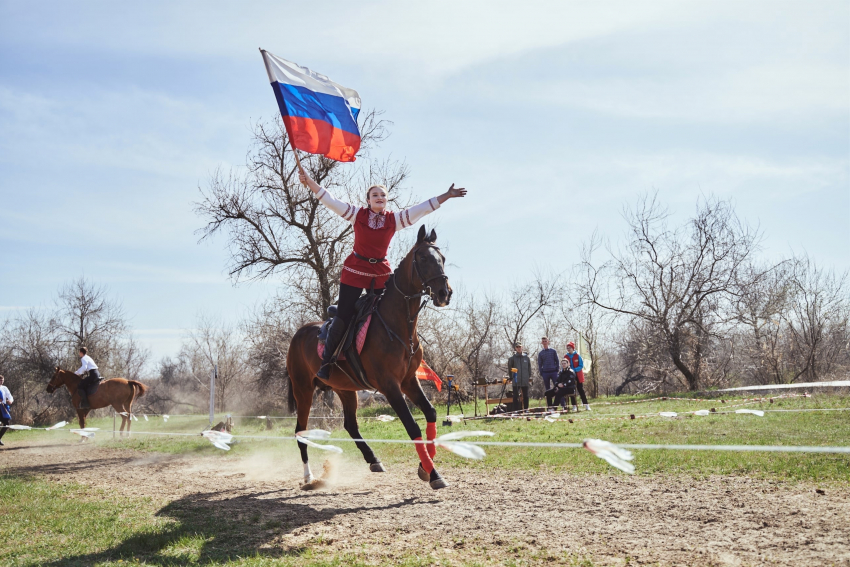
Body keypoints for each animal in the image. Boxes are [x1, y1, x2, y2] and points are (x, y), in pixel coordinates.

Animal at [284, 224, 454, 490]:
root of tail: (297, 335)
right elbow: (412, 425)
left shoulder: (408, 381)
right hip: (304, 390)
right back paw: (308, 476)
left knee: (350, 425)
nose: (444, 293)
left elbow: (431, 414)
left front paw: (424, 468)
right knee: (300, 431)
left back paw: (373, 459)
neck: (397, 326)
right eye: (424, 259)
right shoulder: (389, 385)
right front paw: (433, 473)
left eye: (443, 259)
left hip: (345, 389)